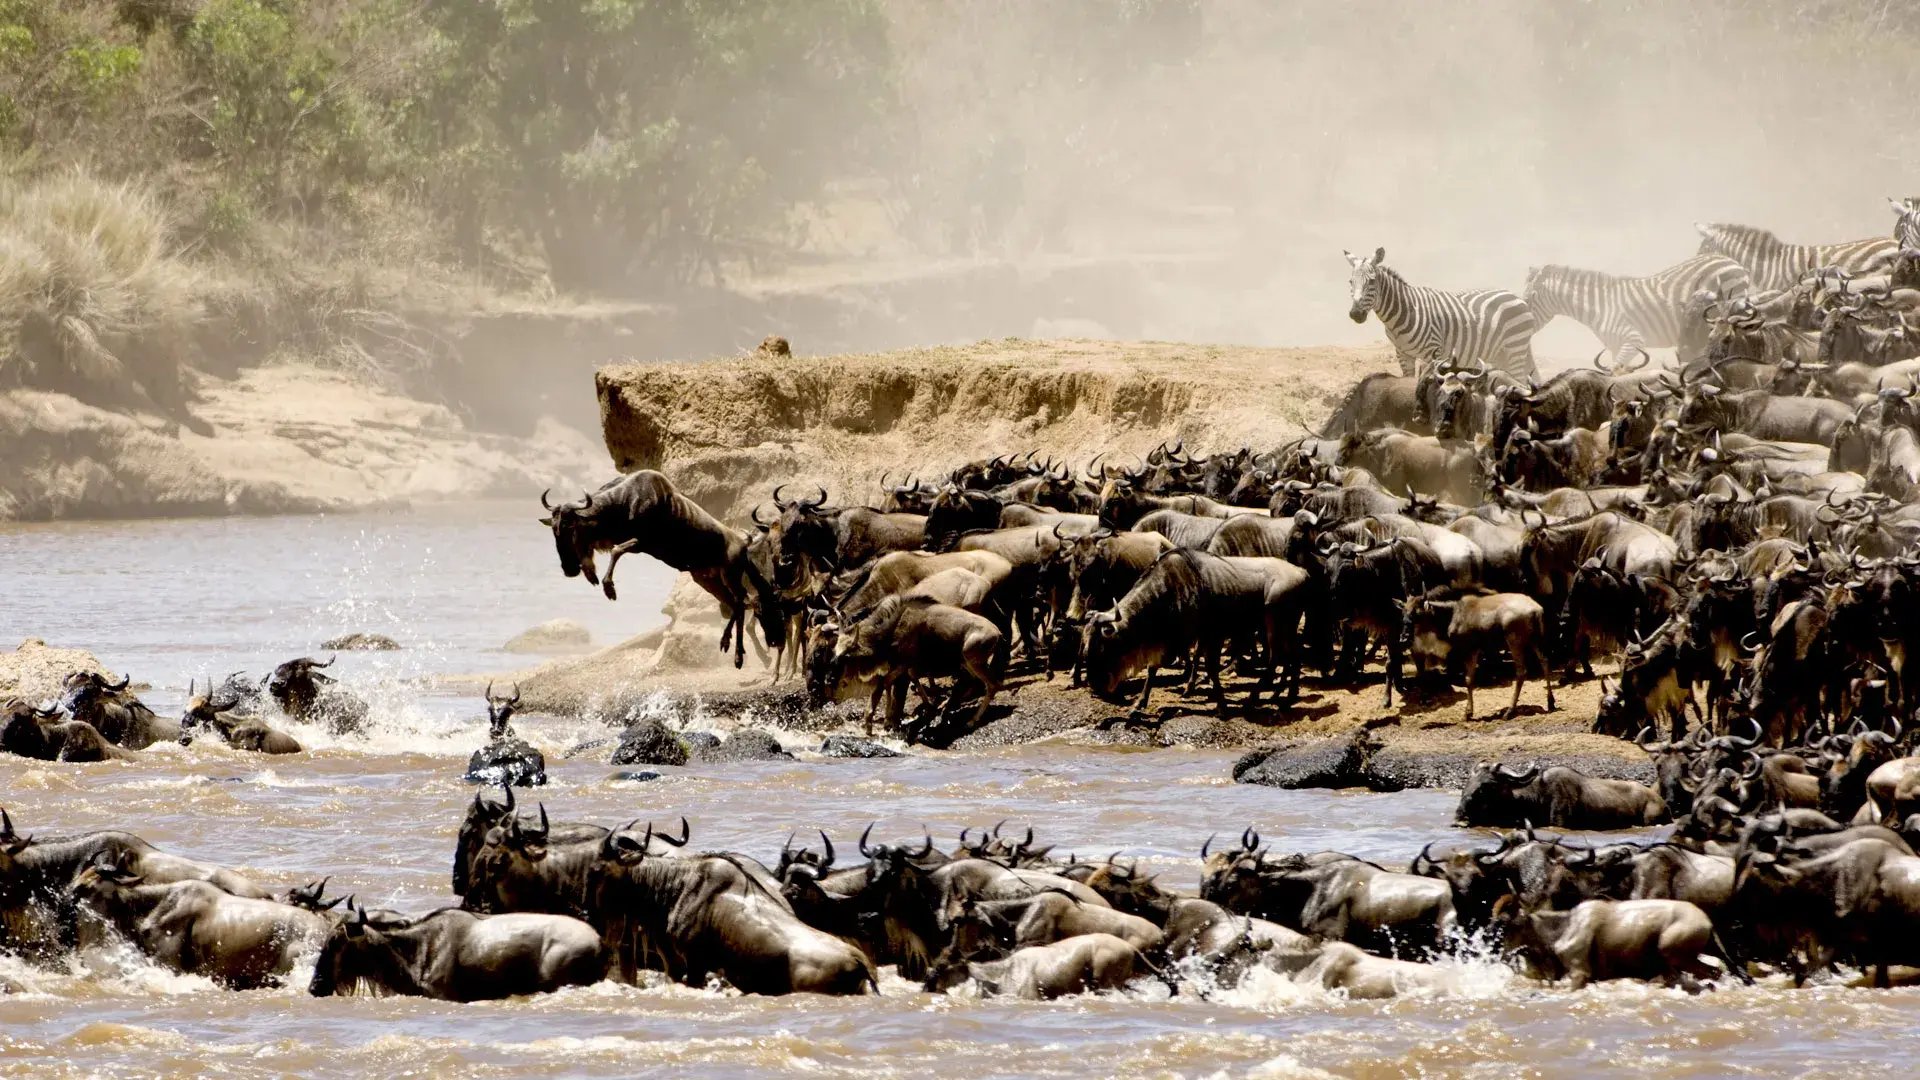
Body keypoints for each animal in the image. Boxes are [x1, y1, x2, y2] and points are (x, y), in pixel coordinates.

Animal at [1344, 247, 1537, 380]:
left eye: (1372, 282)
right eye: (1351, 281)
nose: (1356, 314)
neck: (1405, 311)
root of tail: (1516, 297)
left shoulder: (1433, 353)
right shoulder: (1403, 354)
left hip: (1515, 348)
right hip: (1499, 354)